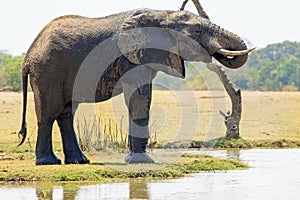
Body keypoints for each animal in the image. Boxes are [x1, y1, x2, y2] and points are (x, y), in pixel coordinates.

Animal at [18, 7, 253, 165]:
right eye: (195, 32)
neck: (161, 14)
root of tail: (28, 55)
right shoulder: (130, 59)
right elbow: (139, 98)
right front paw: (142, 161)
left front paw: (136, 159)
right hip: (48, 70)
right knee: (49, 112)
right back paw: (48, 162)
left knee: (66, 112)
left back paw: (79, 161)